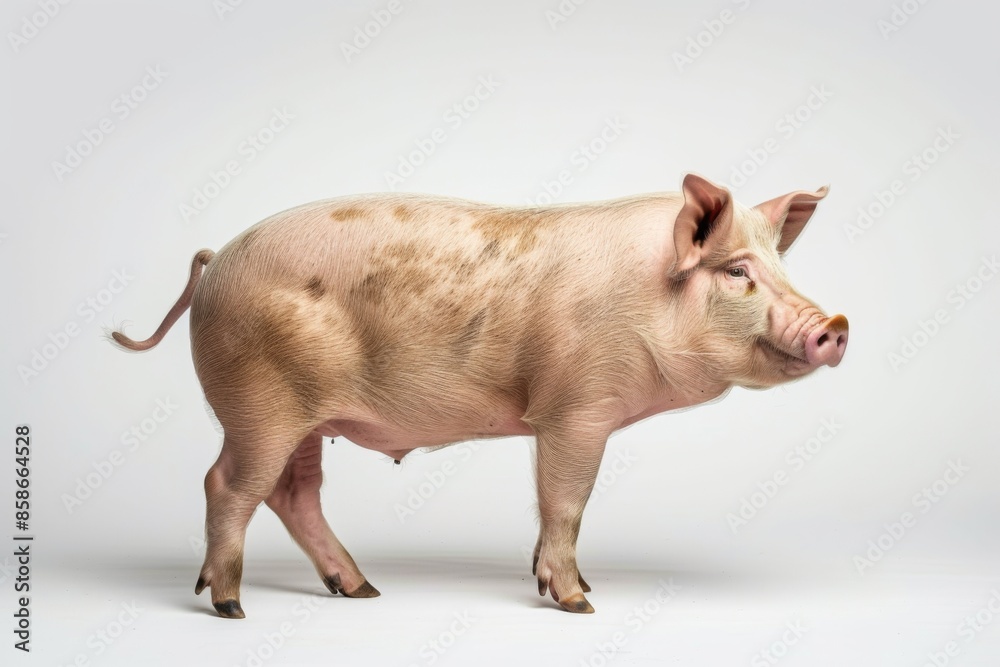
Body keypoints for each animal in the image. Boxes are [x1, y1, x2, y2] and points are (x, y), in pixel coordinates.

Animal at [112, 174, 847, 618]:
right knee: (227, 484)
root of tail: (217, 259)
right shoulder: (574, 409)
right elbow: (566, 501)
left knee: (293, 493)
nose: (836, 325)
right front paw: (581, 603)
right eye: (737, 271)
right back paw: (231, 606)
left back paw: (363, 590)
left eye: (780, 267)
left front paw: (580, 588)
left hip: (304, 418)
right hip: (259, 404)